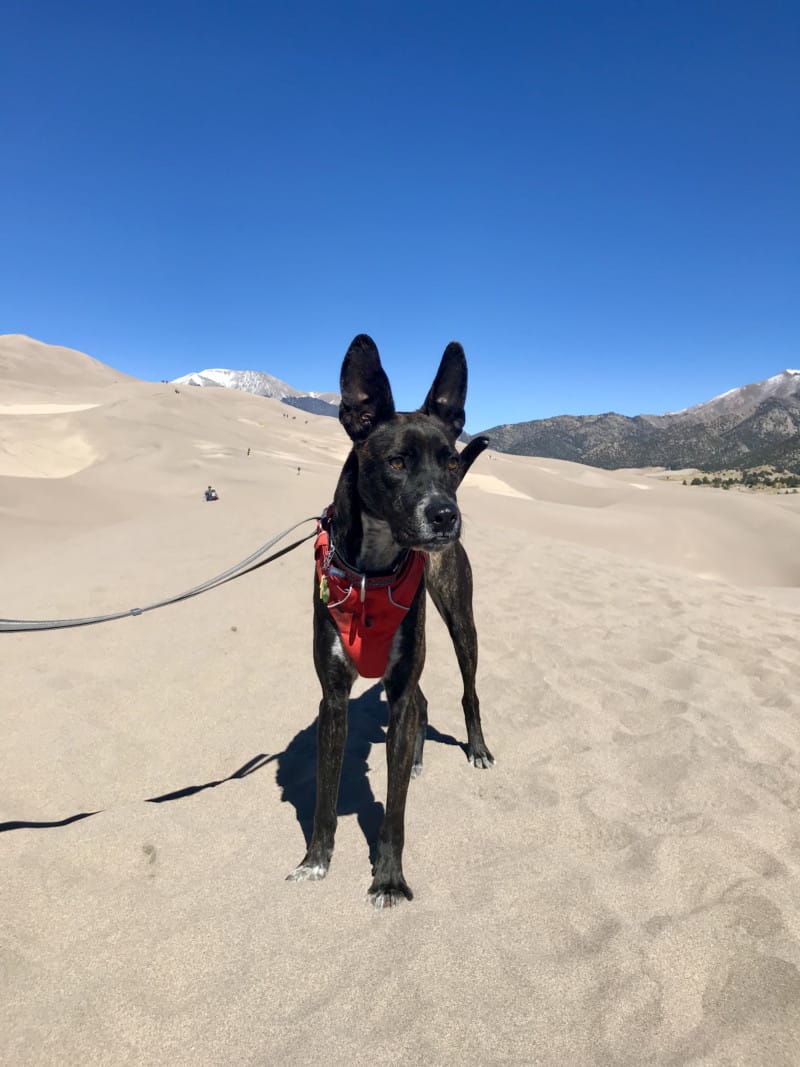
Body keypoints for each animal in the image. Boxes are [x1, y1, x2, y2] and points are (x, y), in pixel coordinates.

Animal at [288, 335, 494, 909]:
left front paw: (388, 878)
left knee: (468, 690)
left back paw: (476, 748)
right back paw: (420, 757)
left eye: (450, 461)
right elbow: (325, 795)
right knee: (422, 701)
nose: (446, 515)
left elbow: (395, 810)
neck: (370, 572)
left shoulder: (398, 685)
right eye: (397, 461)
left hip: (460, 620)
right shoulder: (334, 698)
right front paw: (316, 861)